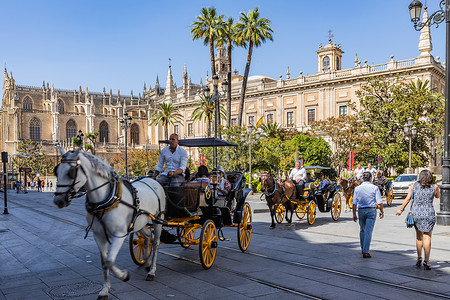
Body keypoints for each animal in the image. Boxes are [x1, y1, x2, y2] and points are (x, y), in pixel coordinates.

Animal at [53, 148, 165, 300]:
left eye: (71, 172)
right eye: (56, 171)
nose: (59, 200)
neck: (106, 198)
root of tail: (151, 179)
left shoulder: (119, 234)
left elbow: (110, 261)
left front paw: (123, 276)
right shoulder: (98, 235)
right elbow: (104, 262)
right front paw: (105, 289)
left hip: (158, 219)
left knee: (156, 243)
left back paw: (152, 270)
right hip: (139, 222)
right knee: (147, 236)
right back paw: (146, 262)